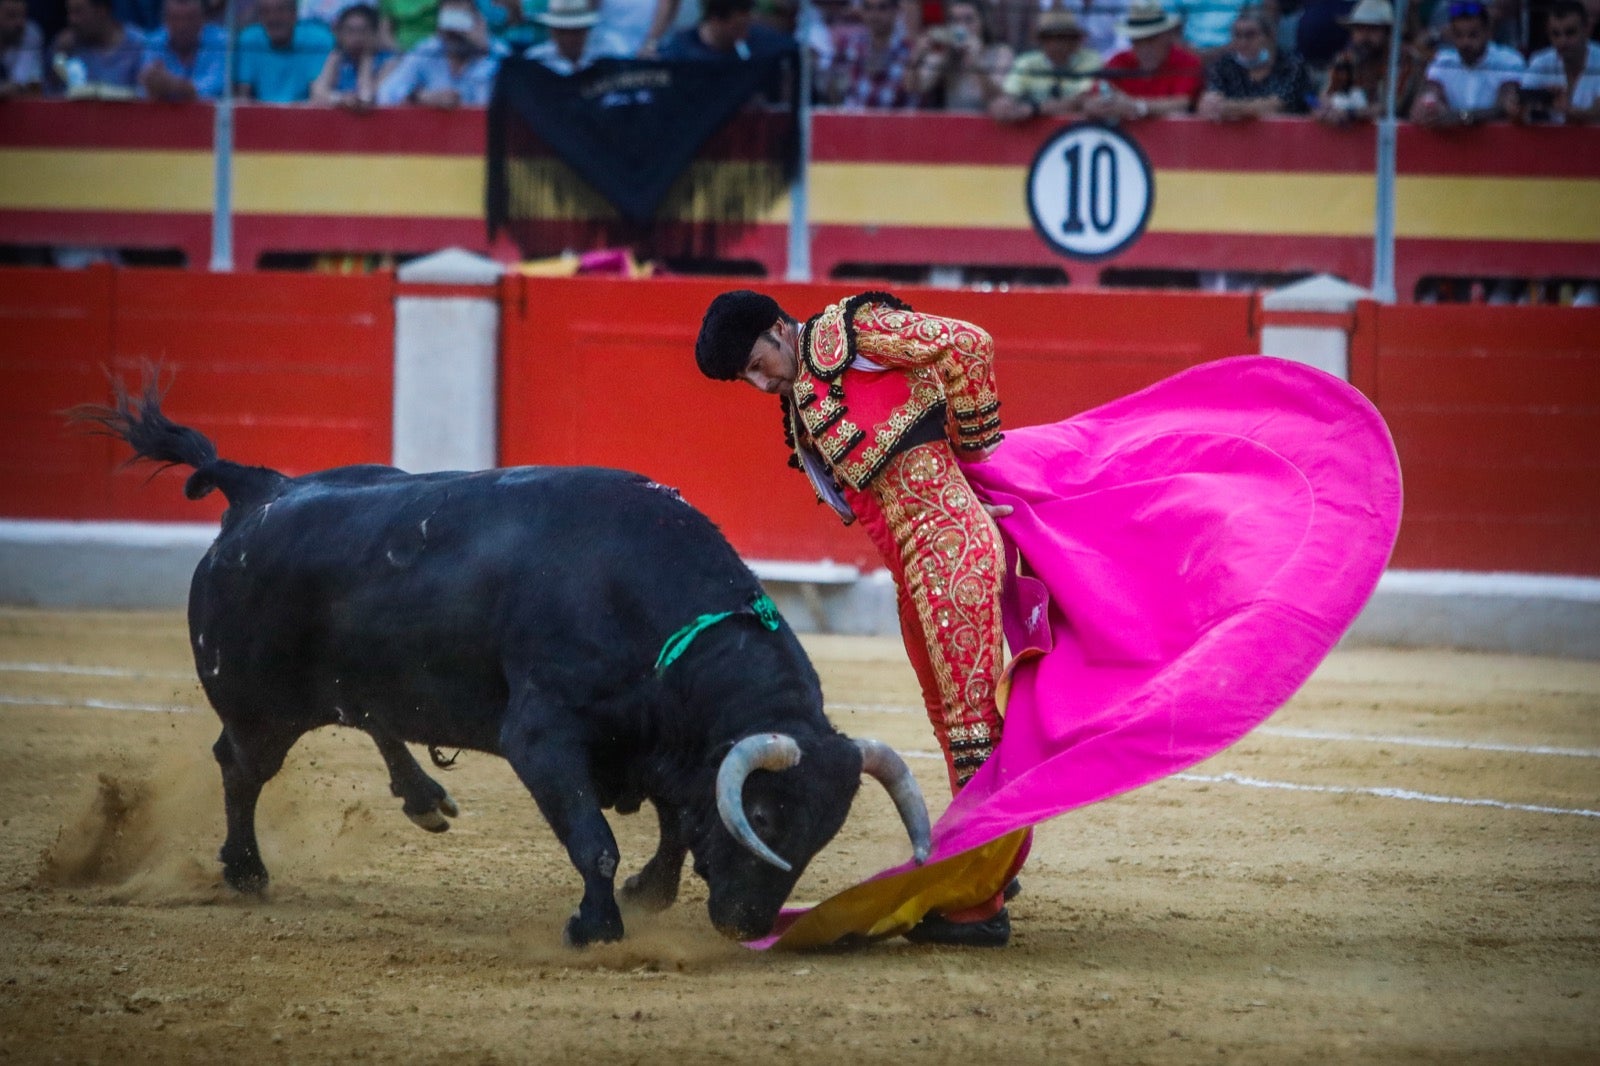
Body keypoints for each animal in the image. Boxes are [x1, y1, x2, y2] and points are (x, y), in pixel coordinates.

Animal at [75, 379, 928, 941]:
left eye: (823, 831)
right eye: (765, 815)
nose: (748, 922)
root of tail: (256, 491)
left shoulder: (664, 748)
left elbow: (678, 822)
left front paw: (648, 893)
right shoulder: (543, 739)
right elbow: (596, 838)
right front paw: (598, 923)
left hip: (361, 677)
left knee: (373, 717)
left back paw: (423, 798)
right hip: (260, 708)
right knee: (240, 768)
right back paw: (247, 872)